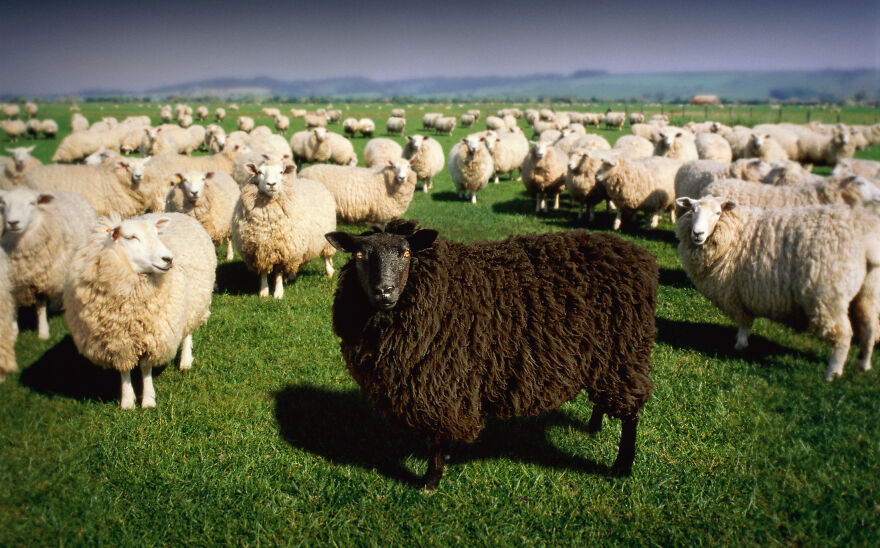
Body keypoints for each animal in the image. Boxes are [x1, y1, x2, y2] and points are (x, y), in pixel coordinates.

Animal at [0, 188, 96, 339]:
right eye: (3, 203)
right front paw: (13, 333)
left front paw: (43, 333)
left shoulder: (42, 278)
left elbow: (40, 306)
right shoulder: (13, 280)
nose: (13, 222)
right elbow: (13, 305)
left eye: (32, 203)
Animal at [63, 212, 215, 409]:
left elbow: (145, 367)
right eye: (131, 237)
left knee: (187, 332)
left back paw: (185, 361)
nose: (168, 259)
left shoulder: (151, 335)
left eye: (157, 234)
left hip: (193, 301)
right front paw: (127, 401)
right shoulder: (118, 341)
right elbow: (124, 369)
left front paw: (148, 400)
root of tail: (178, 213)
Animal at [232, 162, 335, 298]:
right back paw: (291, 276)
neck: (268, 223)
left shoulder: (283, 249)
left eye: (281, 172)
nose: (271, 184)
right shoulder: (260, 250)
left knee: (327, 257)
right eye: (259, 172)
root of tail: (311, 181)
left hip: (326, 238)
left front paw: (278, 292)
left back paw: (329, 272)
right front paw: (264, 291)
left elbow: (278, 273)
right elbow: (264, 271)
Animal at [324, 219, 658, 489]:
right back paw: (595, 426)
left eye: (406, 254)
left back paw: (622, 466)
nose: (385, 291)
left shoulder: (445, 381)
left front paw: (430, 481)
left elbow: (438, 437)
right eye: (359, 255)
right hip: (604, 357)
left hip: (625, 353)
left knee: (632, 413)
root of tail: (638, 255)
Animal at [675, 196, 880, 381]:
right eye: (692, 210)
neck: (736, 233)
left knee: (843, 336)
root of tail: (867, 245)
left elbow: (744, 323)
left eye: (718, 213)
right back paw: (863, 364)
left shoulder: (735, 294)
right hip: (868, 292)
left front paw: (740, 345)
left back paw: (832, 372)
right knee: (869, 328)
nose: (698, 234)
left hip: (829, 296)